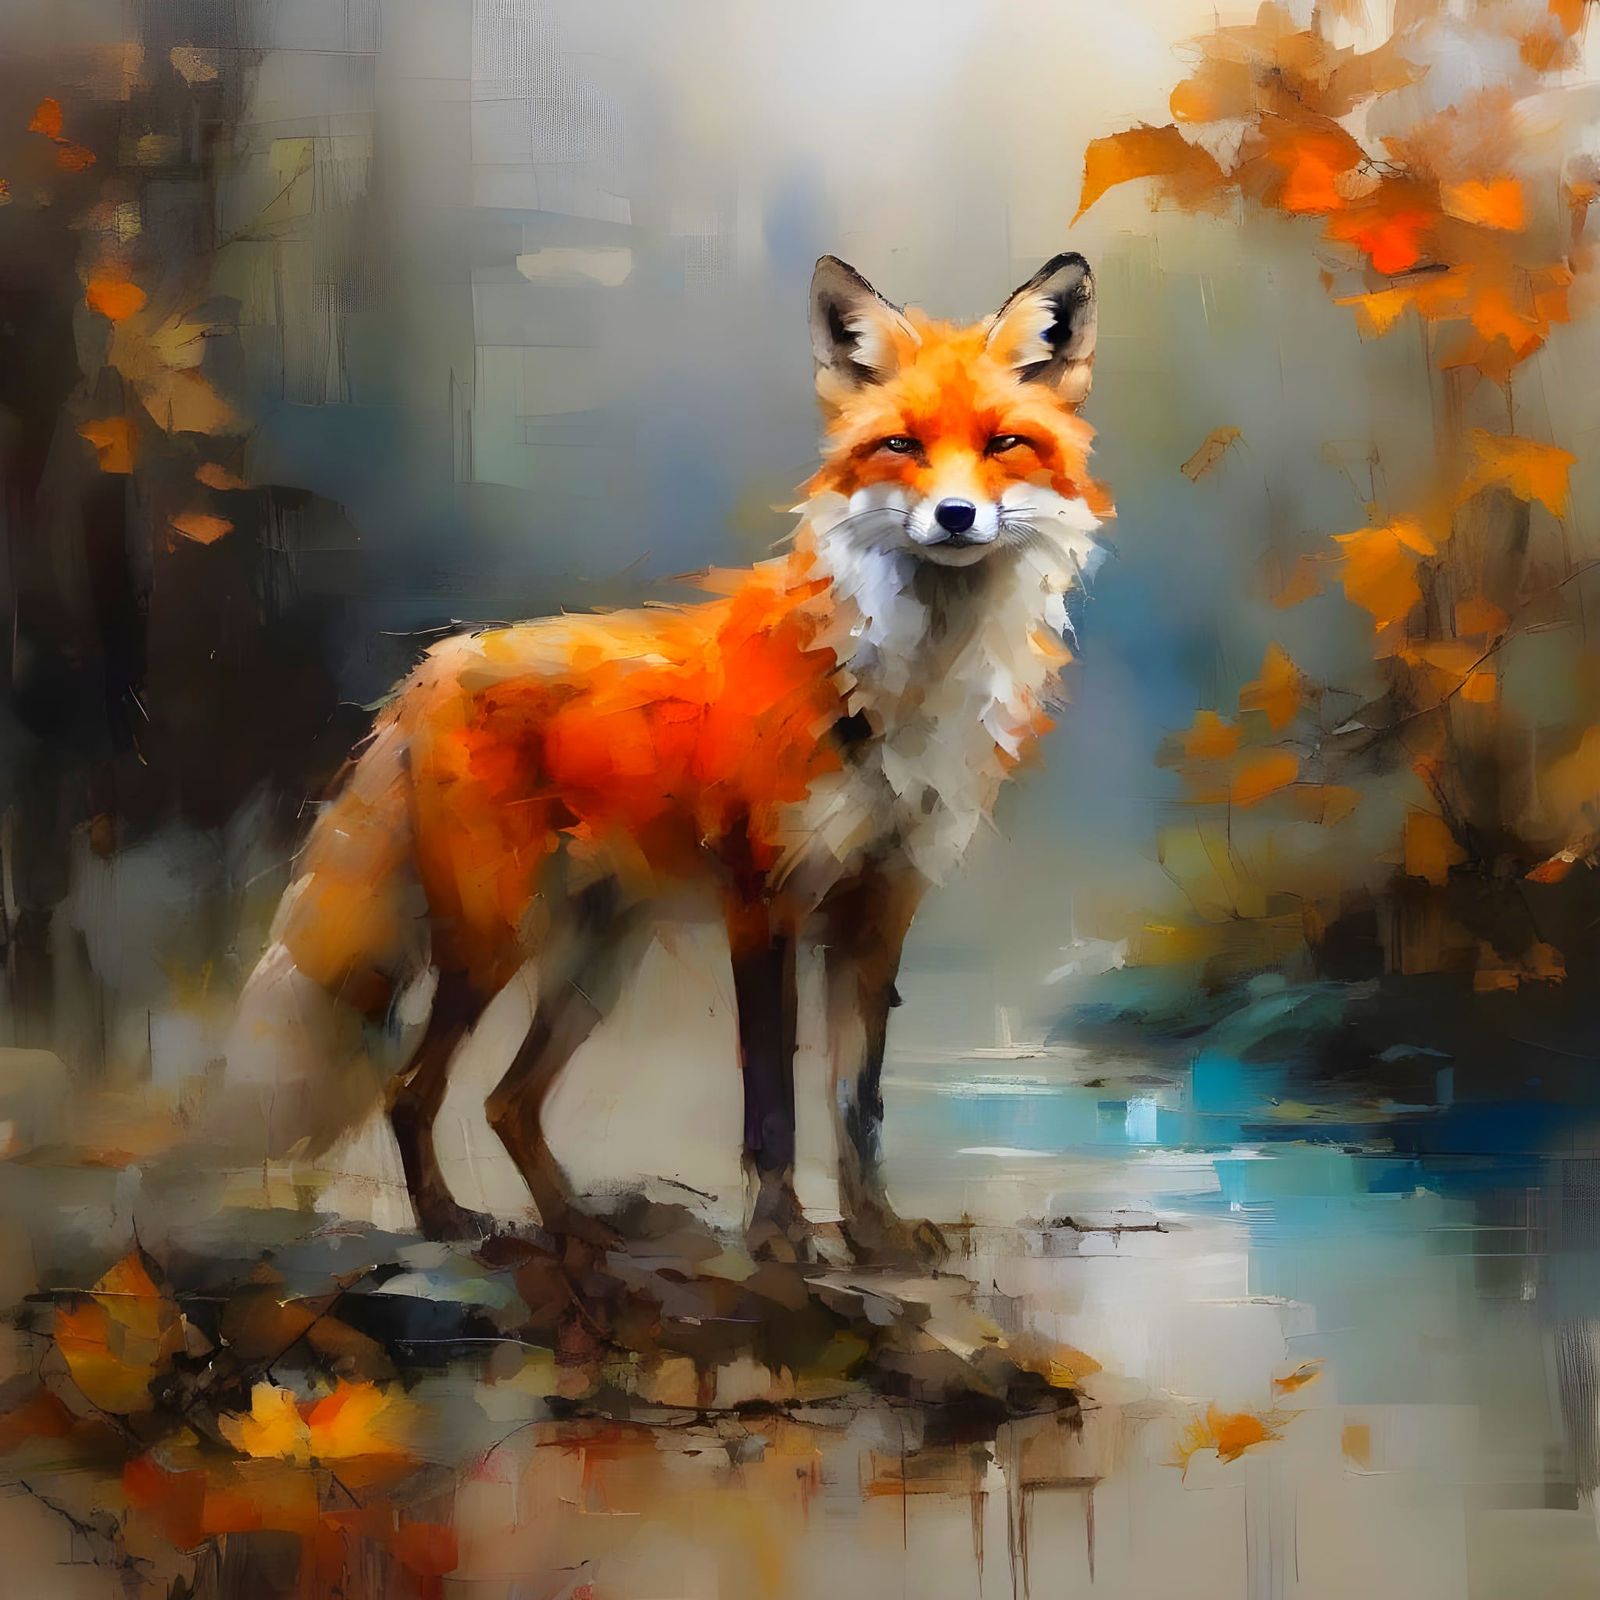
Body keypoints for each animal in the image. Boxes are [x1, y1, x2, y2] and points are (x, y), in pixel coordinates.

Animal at [221, 251, 1110, 1266]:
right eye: (900, 446)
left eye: (1003, 444)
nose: (956, 516)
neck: (901, 686)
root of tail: (431, 666)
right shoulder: (763, 905)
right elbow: (772, 1103)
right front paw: (778, 1236)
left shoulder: (879, 912)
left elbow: (859, 1105)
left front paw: (874, 1233)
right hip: (494, 941)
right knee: (412, 1092)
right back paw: (451, 1221)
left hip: (595, 963)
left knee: (506, 1102)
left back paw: (576, 1228)